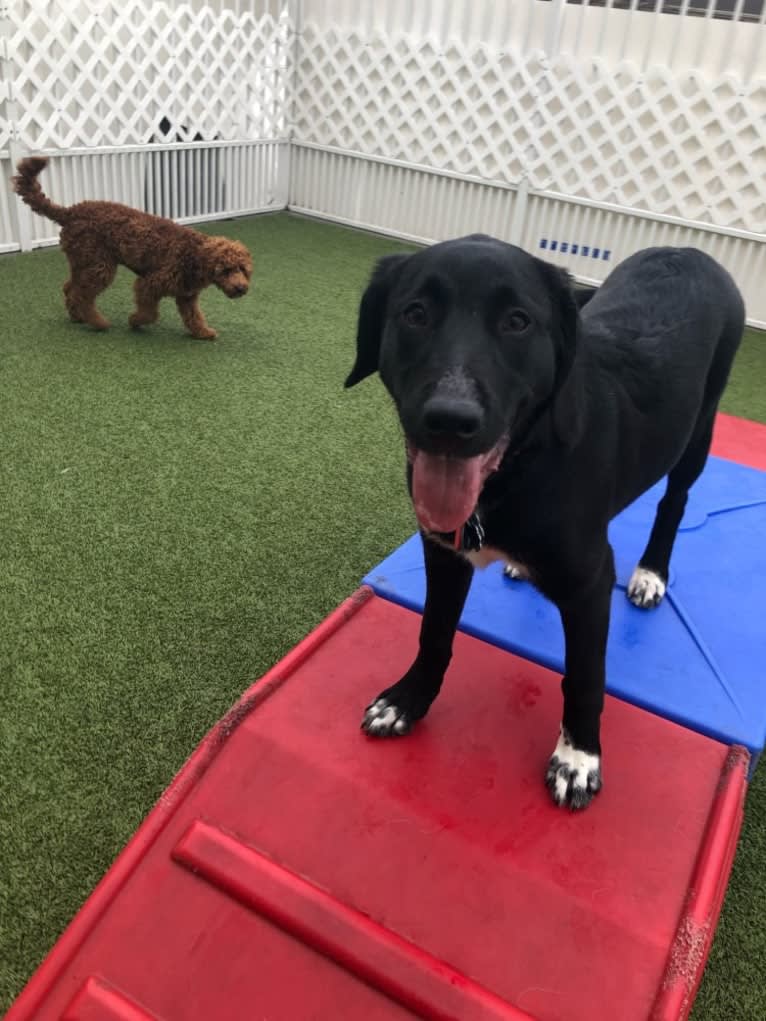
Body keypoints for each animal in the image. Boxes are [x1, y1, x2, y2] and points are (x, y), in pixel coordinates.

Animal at [12, 155, 252, 338]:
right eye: (225, 270)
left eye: (242, 269)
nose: (241, 288)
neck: (193, 254)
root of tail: (70, 212)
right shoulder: (149, 283)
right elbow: (150, 313)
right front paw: (135, 321)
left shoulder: (187, 296)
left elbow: (194, 317)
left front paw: (204, 332)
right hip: (100, 266)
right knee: (83, 295)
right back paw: (98, 322)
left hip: (83, 262)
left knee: (70, 289)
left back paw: (77, 316)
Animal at [347, 234, 743, 808]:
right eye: (415, 313)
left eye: (517, 322)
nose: (449, 420)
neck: (518, 468)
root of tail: (688, 249)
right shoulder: (443, 550)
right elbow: (434, 631)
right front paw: (408, 699)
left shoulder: (591, 582)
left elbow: (584, 676)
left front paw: (578, 758)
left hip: (700, 430)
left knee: (675, 502)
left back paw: (651, 573)